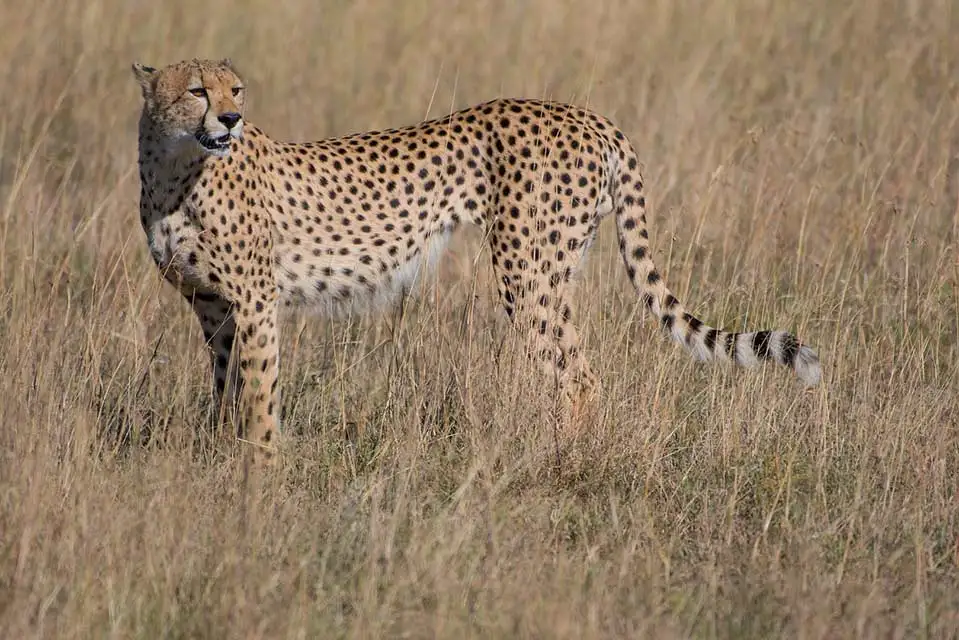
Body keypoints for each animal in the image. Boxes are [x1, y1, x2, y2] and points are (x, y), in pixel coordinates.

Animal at [132, 58, 821, 467]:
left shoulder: (255, 301)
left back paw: (561, 462)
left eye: (235, 89)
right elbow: (227, 389)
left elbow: (259, 394)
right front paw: (222, 459)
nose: (231, 117)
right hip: (556, 267)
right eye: (197, 90)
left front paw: (262, 474)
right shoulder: (212, 307)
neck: (174, 171)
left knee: (577, 373)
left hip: (528, 269)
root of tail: (589, 115)